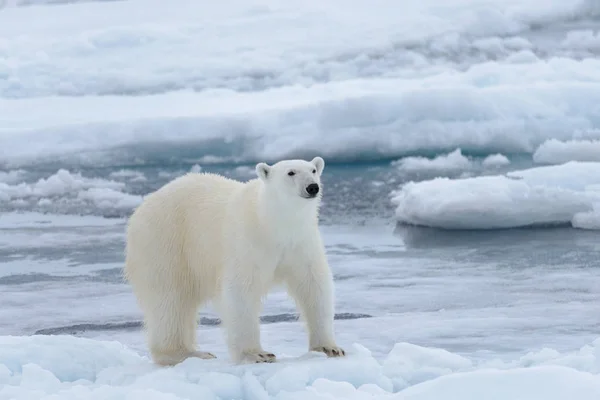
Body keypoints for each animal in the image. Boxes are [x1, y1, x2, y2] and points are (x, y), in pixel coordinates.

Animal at [124, 156, 344, 366]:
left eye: (313, 170)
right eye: (291, 172)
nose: (312, 187)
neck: (272, 223)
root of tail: (144, 205)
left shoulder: (301, 242)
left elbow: (314, 285)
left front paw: (330, 348)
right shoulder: (248, 242)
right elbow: (241, 291)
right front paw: (257, 354)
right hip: (166, 242)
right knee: (169, 299)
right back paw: (184, 353)